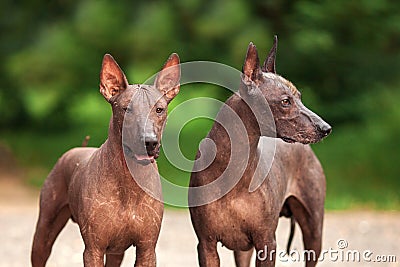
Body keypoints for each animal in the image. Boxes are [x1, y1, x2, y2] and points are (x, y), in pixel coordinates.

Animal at [30, 53, 180, 266]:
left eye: (159, 109)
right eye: (127, 109)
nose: (149, 141)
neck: (128, 180)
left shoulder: (147, 249)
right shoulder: (93, 249)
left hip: (116, 252)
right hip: (44, 233)